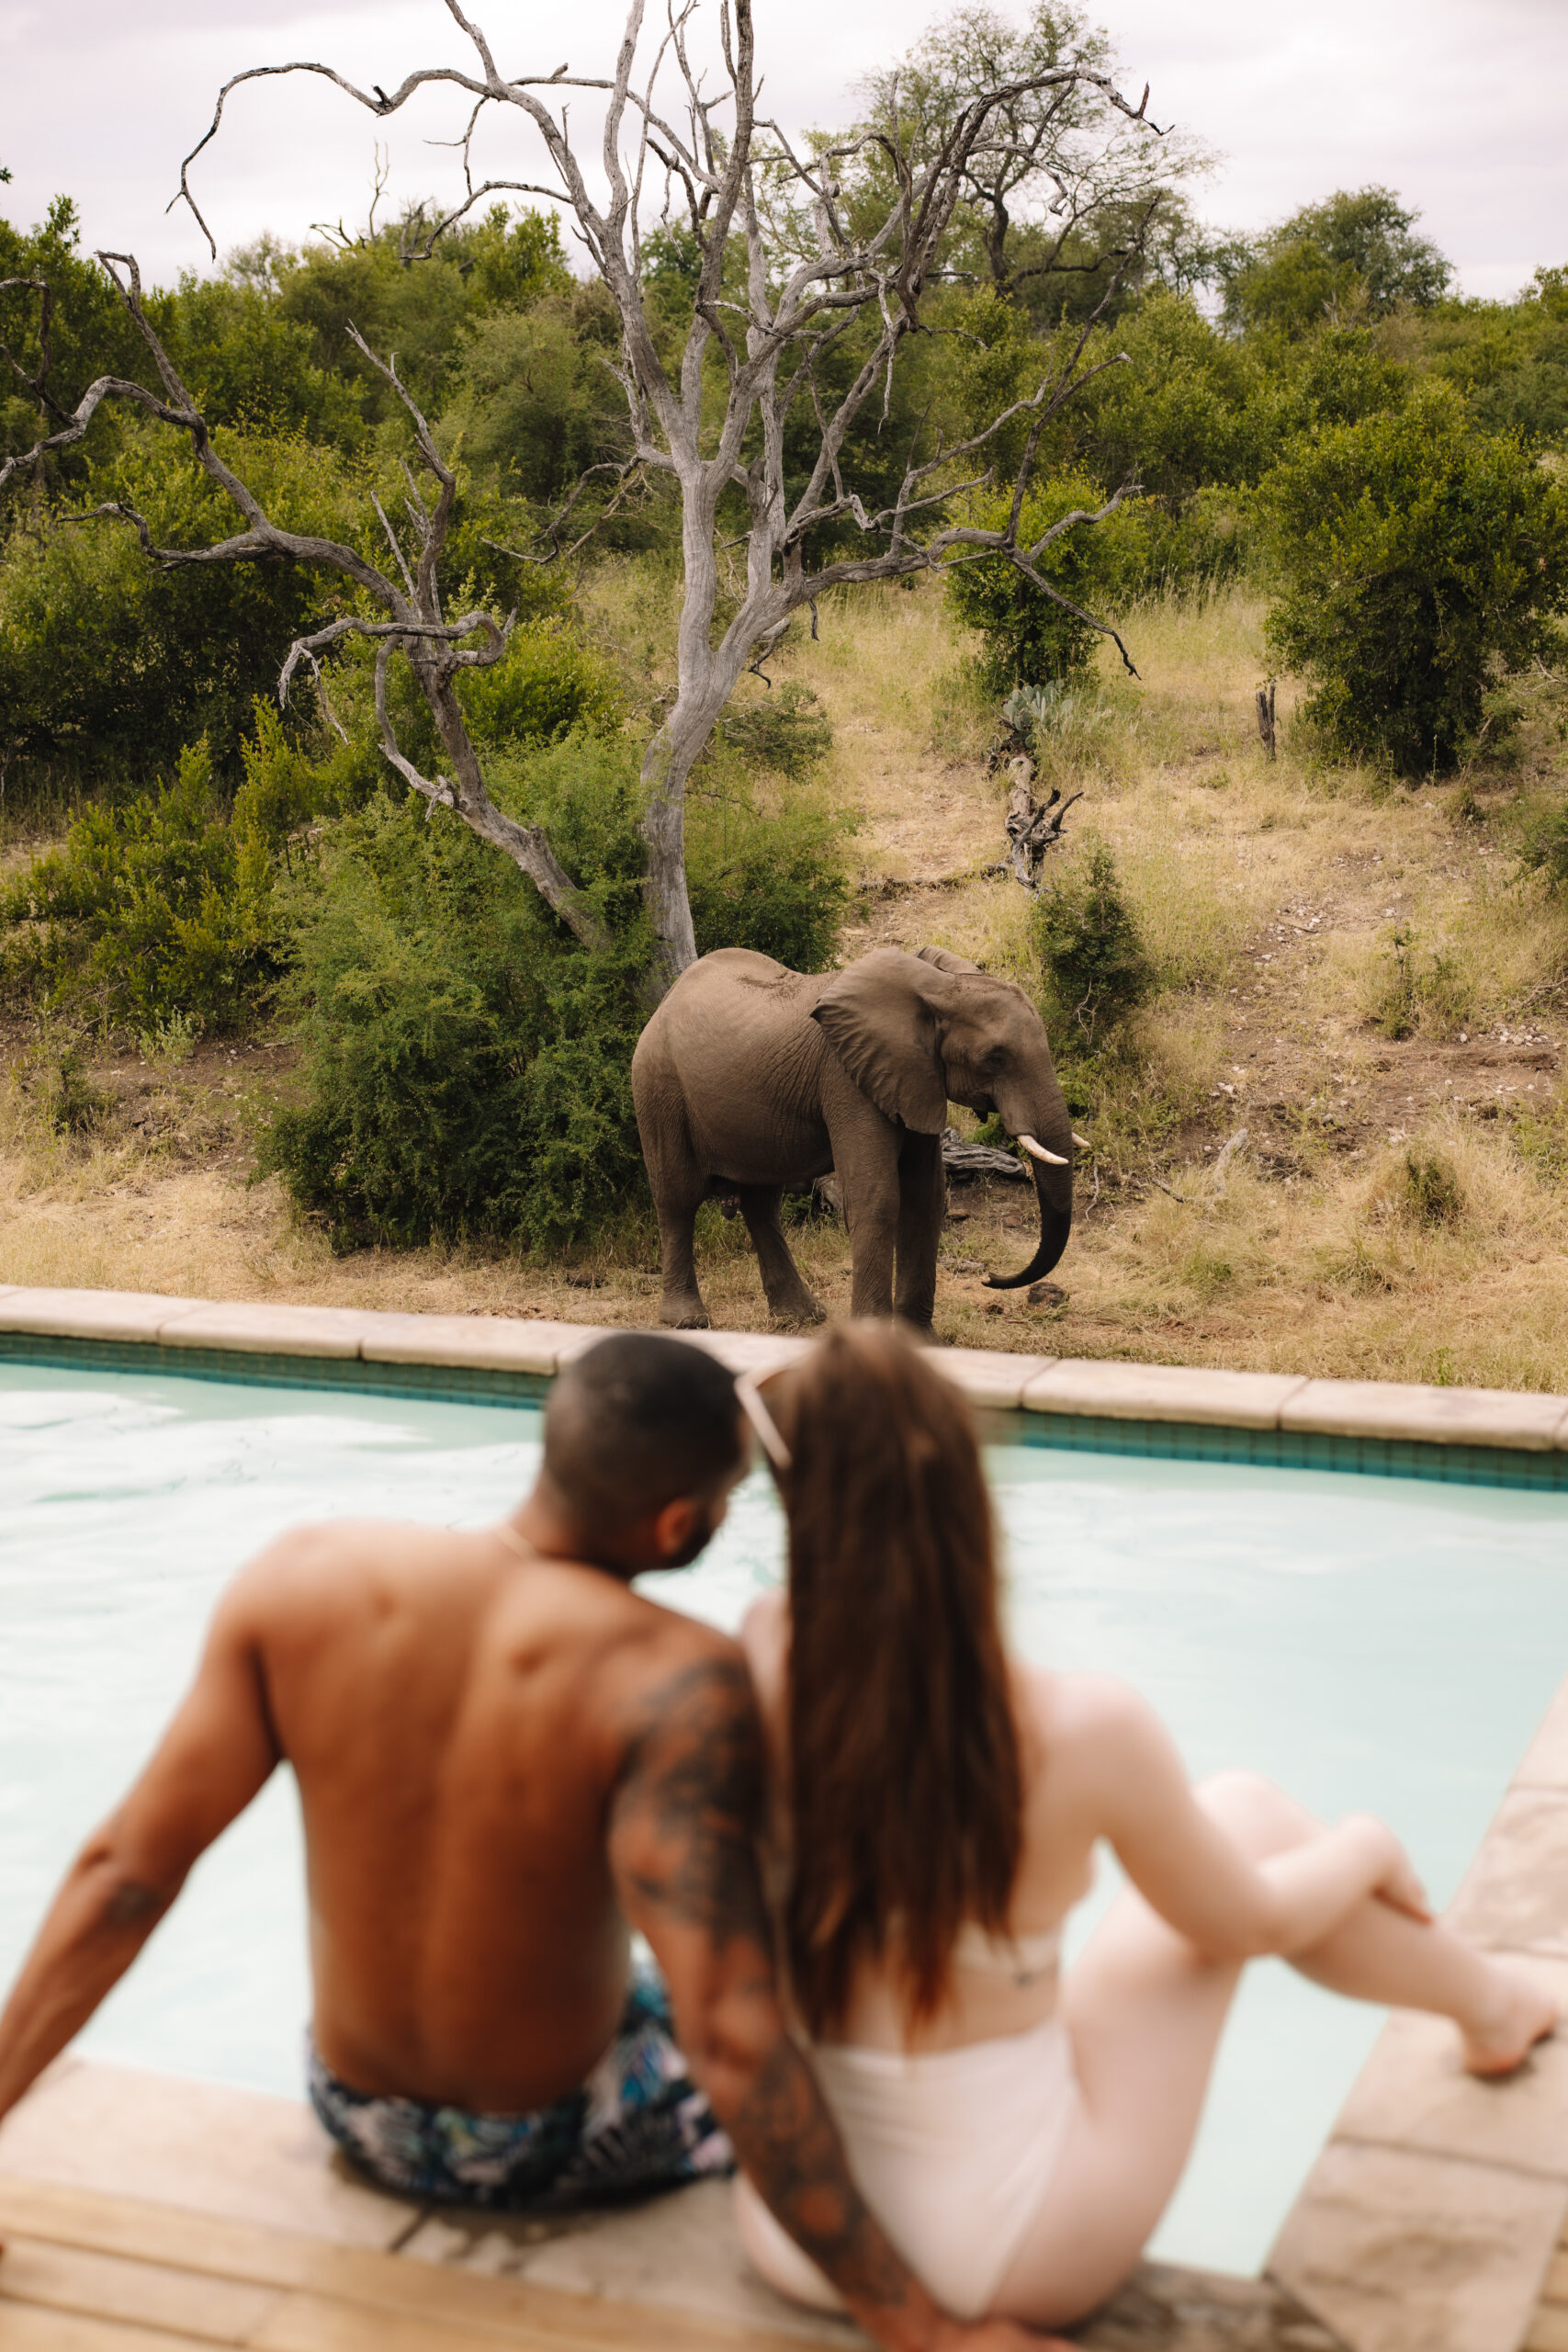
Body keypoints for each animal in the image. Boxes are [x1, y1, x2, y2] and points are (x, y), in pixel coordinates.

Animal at [631, 942, 1077, 1331]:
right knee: (677, 1197)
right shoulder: (847, 1078)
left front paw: (921, 1343)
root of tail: (664, 1002)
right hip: (657, 1085)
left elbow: (926, 1200)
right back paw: (687, 1320)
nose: (990, 1278)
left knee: (762, 1203)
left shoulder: (914, 1078)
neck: (939, 988)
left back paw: (801, 1317)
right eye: (995, 1058)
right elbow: (878, 1199)